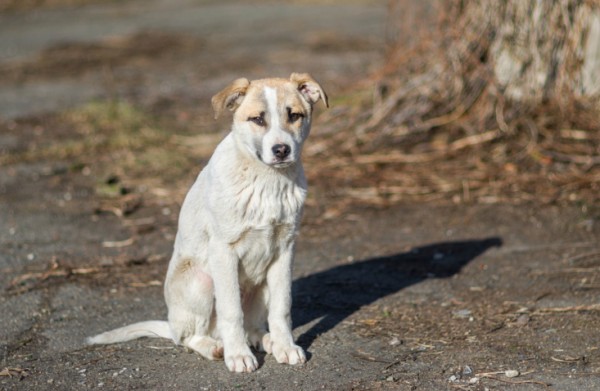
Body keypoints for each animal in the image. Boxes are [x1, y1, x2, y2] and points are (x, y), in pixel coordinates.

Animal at [86, 72, 328, 374]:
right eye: (257, 119)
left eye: (294, 115)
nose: (281, 150)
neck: (267, 180)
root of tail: (171, 324)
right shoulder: (223, 250)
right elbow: (231, 311)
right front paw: (238, 355)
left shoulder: (285, 249)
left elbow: (282, 308)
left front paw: (285, 346)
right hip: (202, 282)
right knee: (190, 337)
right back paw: (217, 347)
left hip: (260, 286)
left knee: (252, 326)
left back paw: (267, 340)